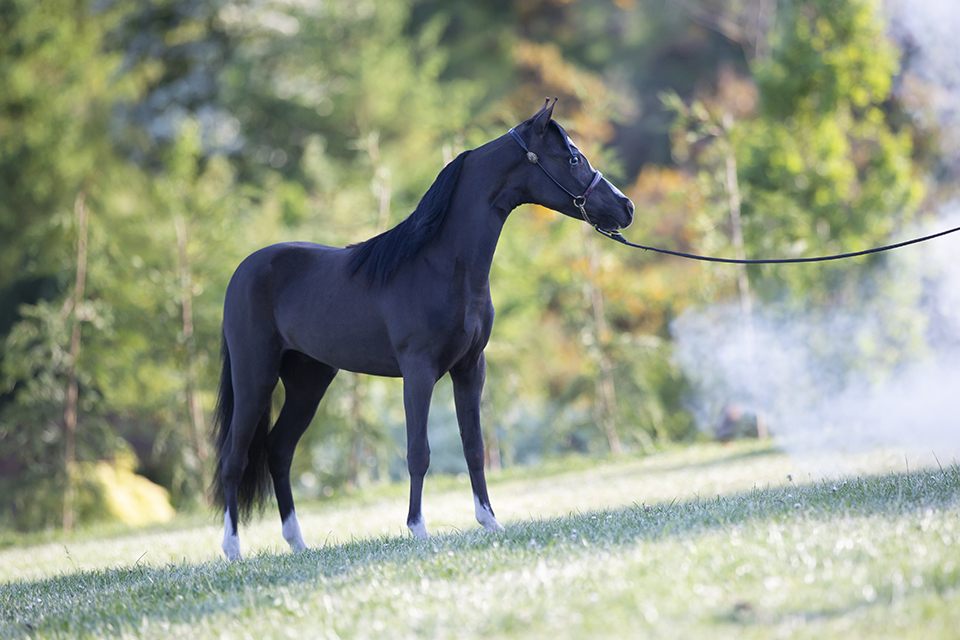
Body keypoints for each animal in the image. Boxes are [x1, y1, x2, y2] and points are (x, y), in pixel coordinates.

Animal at [212, 99, 635, 561]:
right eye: (572, 158)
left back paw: (298, 543)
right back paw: (233, 550)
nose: (627, 207)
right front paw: (418, 528)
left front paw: (489, 521)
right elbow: (419, 451)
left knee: (279, 450)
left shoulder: (470, 369)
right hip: (255, 378)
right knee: (234, 457)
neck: (441, 266)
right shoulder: (418, 372)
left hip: (309, 381)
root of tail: (244, 270)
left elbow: (474, 447)